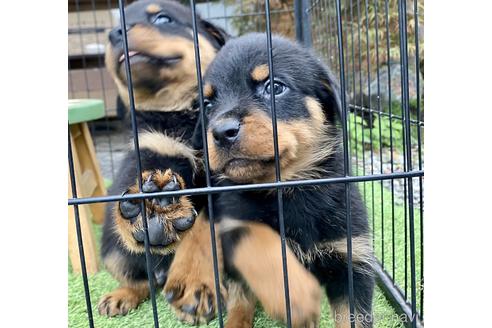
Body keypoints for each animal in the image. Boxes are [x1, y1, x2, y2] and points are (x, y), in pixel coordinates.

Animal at [98, 0, 229, 318]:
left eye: (162, 18)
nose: (114, 33)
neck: (181, 114)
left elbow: (203, 230)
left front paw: (196, 285)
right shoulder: (149, 152)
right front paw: (154, 208)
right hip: (110, 250)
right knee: (142, 279)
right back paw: (121, 296)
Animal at [179, 34, 374, 328]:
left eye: (274, 87)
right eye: (208, 104)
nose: (222, 132)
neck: (288, 189)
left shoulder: (352, 260)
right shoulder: (231, 223)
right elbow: (260, 240)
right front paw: (296, 293)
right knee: (240, 299)